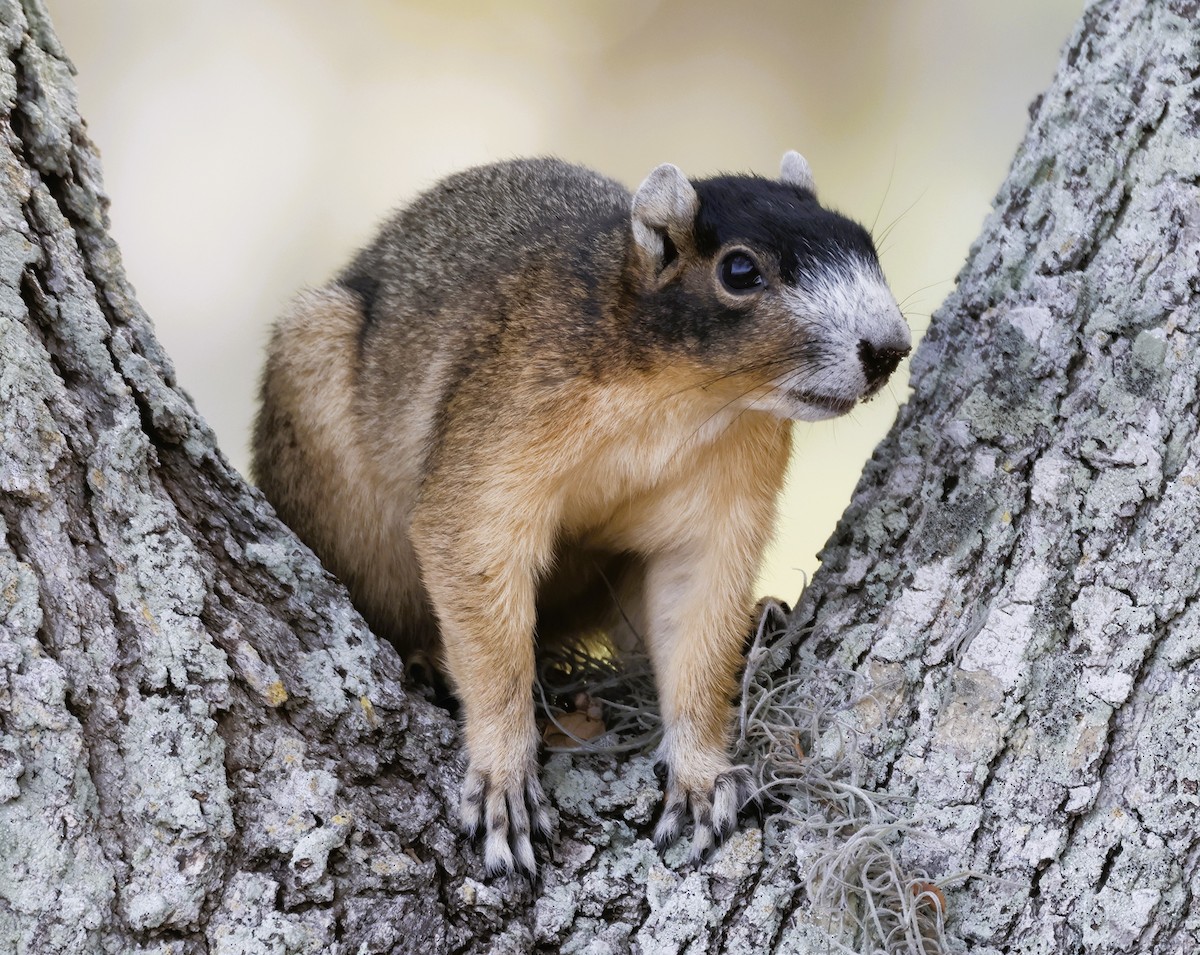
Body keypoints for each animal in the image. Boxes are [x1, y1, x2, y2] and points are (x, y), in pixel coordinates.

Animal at [252, 153, 911, 877]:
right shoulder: (502, 423)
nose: (889, 348)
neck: (680, 398)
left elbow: (696, 628)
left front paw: (702, 776)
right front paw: (503, 780)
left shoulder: (727, 490)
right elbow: (473, 563)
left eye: (868, 244)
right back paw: (426, 658)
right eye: (740, 270)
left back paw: (760, 619)